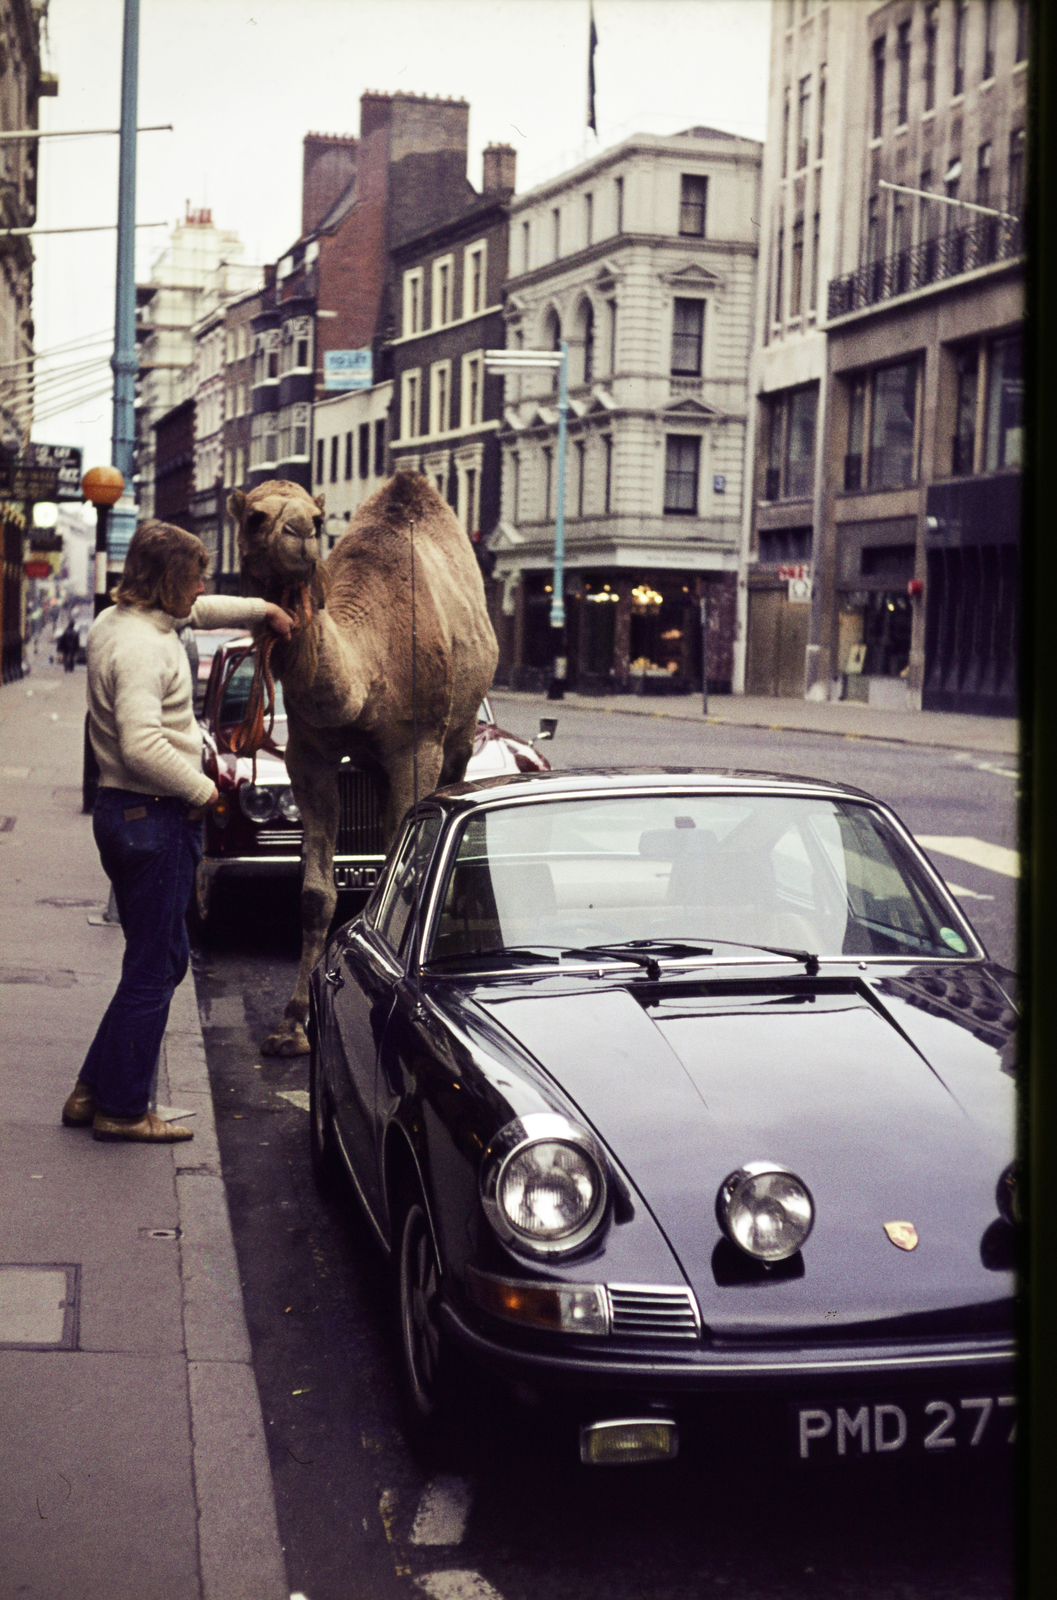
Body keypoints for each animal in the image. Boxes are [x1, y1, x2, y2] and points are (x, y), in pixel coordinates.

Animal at [227, 467, 498, 1056]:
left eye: (318, 516)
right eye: (255, 516)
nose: (302, 532)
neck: (367, 668)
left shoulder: (418, 747)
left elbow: (407, 866)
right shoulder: (309, 754)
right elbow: (314, 893)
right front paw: (292, 1025)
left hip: (460, 731)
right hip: (374, 766)